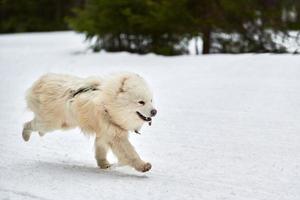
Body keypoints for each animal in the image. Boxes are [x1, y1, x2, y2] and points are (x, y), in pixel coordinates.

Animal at [22, 72, 157, 173]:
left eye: (151, 100)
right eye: (141, 102)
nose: (154, 111)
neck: (108, 106)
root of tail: (42, 80)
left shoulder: (105, 132)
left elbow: (100, 149)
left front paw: (104, 164)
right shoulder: (115, 134)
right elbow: (130, 152)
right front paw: (144, 166)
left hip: (64, 123)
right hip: (51, 123)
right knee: (30, 124)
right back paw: (25, 135)